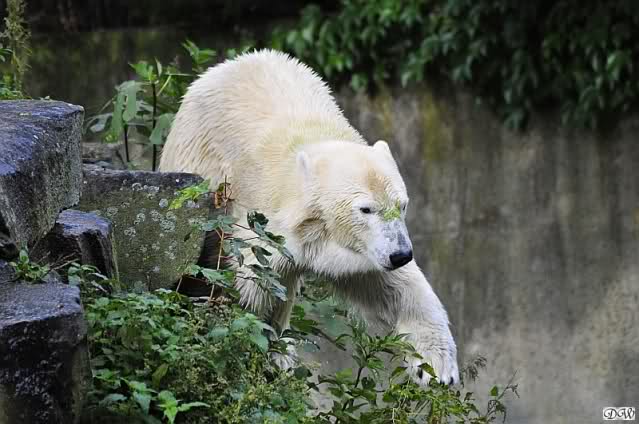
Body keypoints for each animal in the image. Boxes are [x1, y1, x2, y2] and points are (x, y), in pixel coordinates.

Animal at [159, 50, 459, 385]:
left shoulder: (360, 248)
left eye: (402, 205)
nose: (401, 254)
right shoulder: (268, 224)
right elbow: (257, 286)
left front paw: (436, 367)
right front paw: (255, 349)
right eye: (366, 209)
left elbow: (393, 285)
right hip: (200, 167)